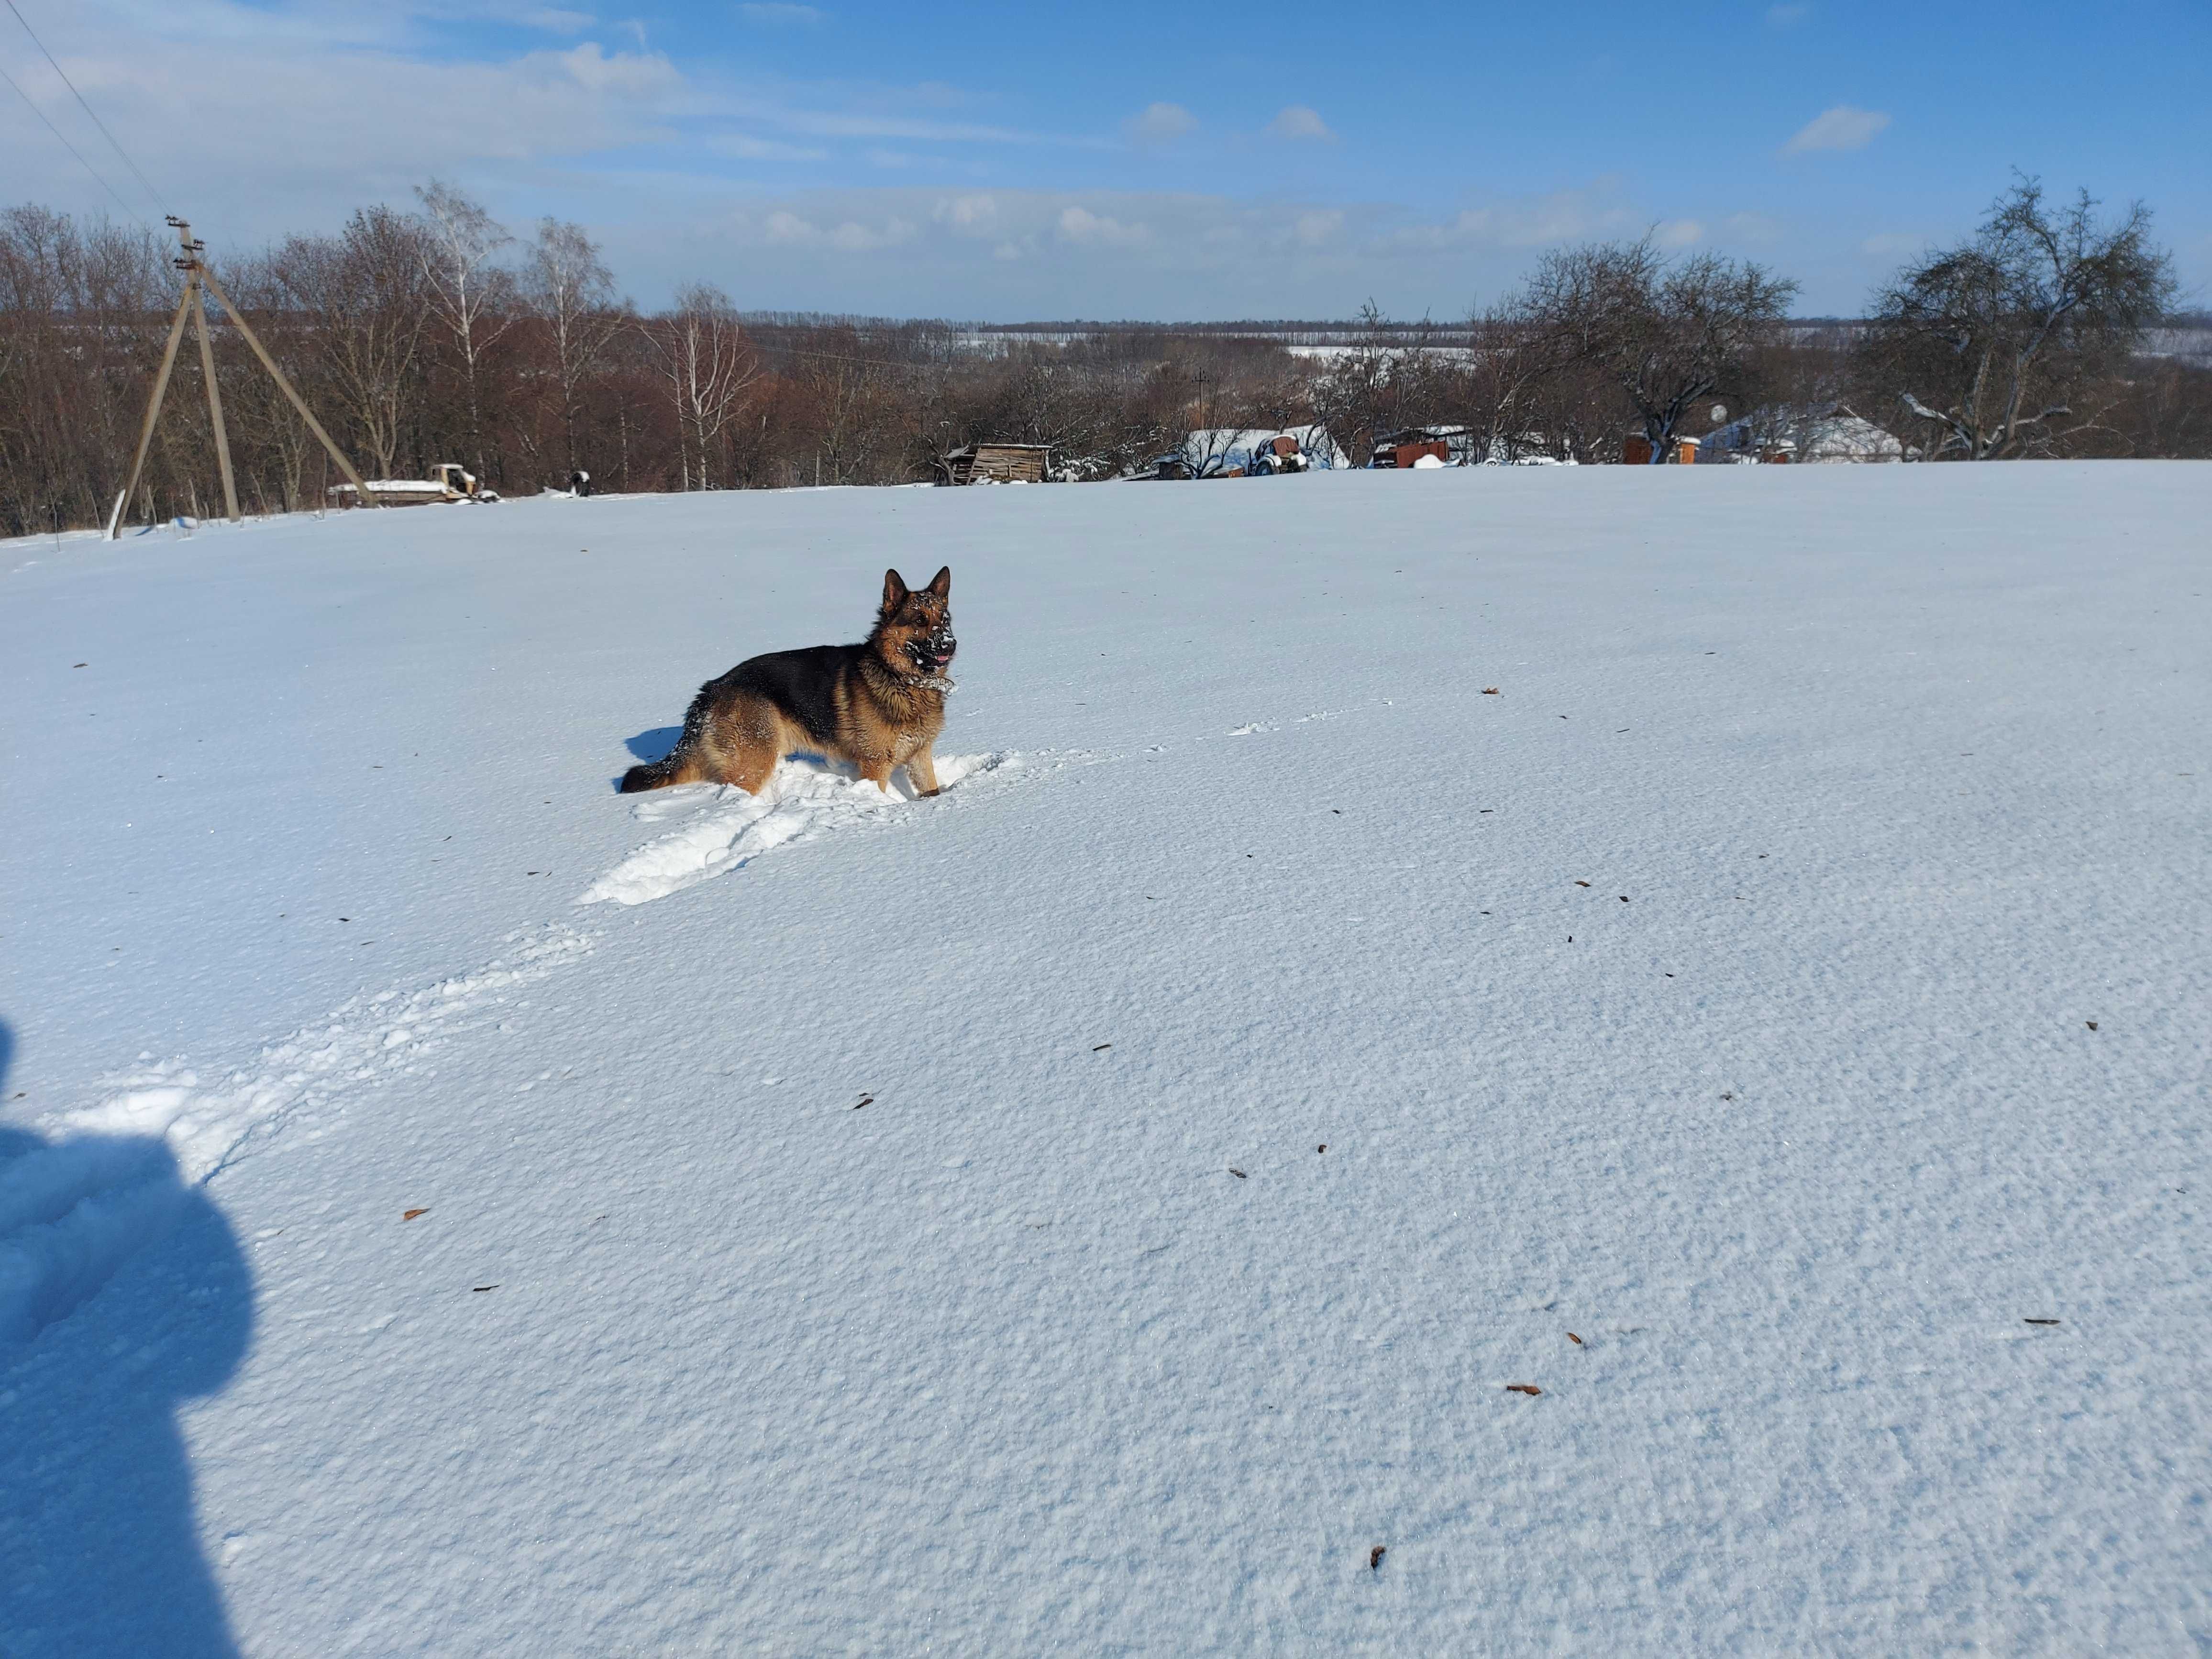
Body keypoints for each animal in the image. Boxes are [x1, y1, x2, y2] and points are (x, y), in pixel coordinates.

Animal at [623, 570, 969, 800]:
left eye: (945, 620)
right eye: (920, 621)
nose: (951, 645)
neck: (901, 679)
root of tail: (712, 689)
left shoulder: (920, 757)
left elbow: (931, 790)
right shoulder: (875, 766)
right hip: (755, 762)